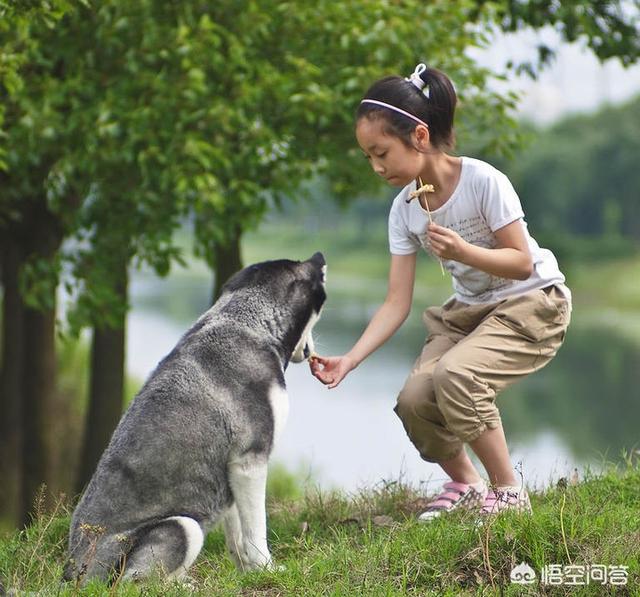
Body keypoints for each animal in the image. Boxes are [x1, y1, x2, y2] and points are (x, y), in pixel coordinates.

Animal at [63, 250, 330, 584]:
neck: (252, 323)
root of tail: (76, 575)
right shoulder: (249, 461)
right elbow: (256, 533)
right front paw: (266, 569)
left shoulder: (231, 474)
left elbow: (238, 539)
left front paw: (247, 574)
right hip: (182, 526)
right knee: (133, 583)